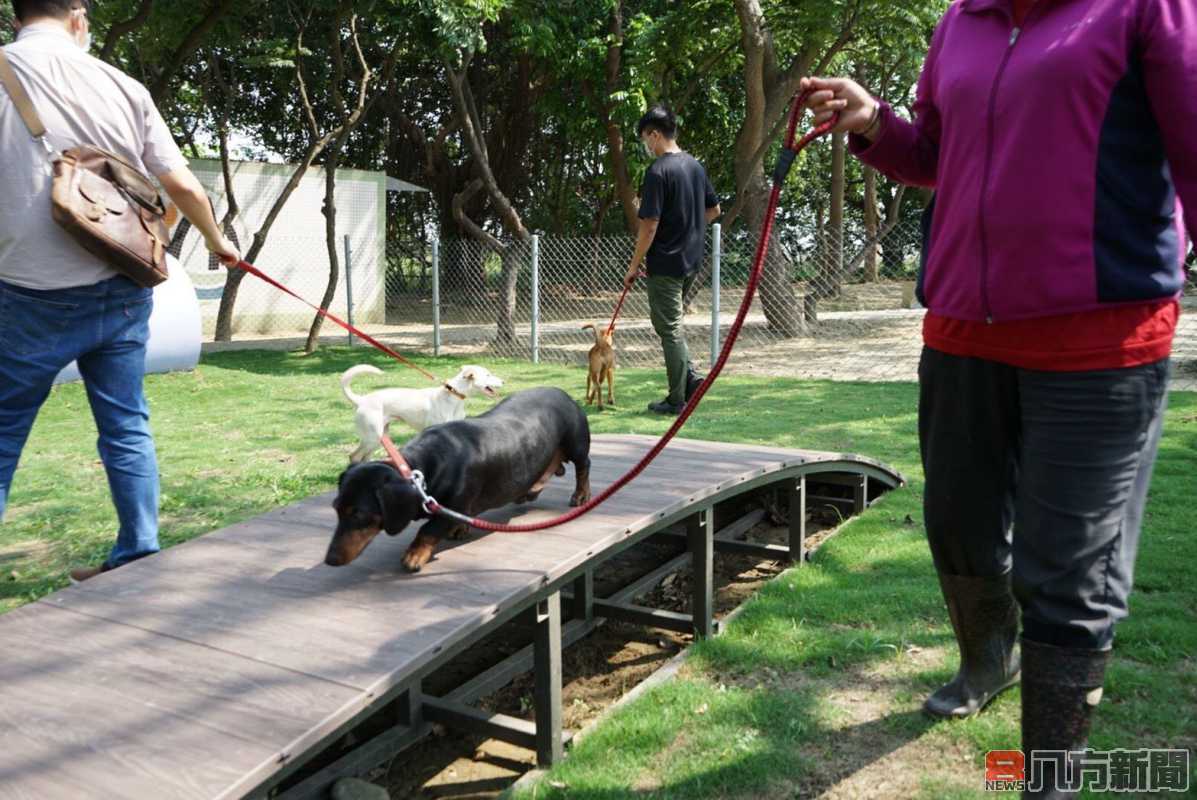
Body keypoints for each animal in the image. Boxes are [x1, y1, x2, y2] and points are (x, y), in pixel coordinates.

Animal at [339, 364, 502, 462]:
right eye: (488, 375)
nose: (503, 381)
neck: (454, 395)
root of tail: (362, 400)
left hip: (379, 437)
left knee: (364, 457)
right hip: (373, 436)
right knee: (354, 456)